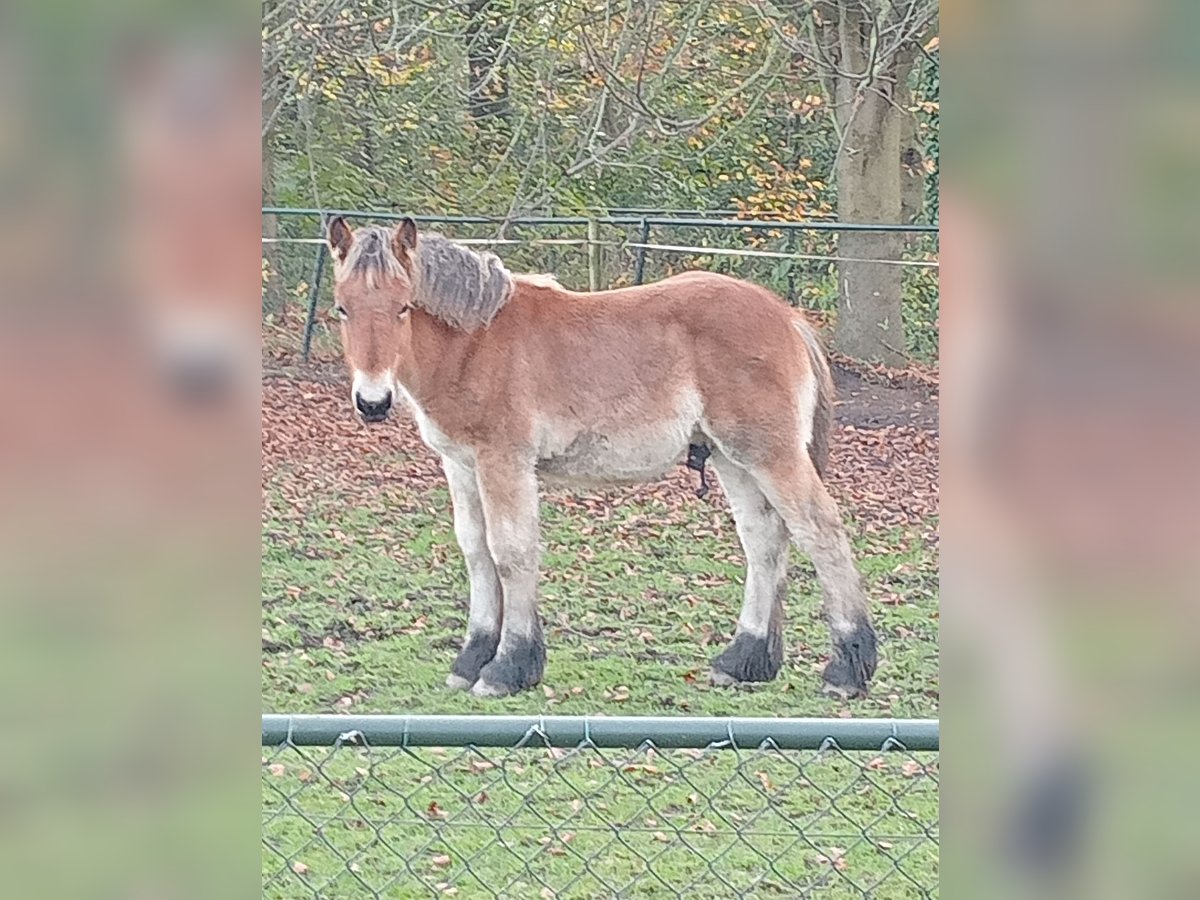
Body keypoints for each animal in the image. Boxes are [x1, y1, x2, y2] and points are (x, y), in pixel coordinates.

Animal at [328, 220, 883, 705]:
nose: (372, 403)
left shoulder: (504, 461)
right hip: (732, 458)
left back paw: (846, 670)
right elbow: (476, 551)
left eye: (403, 307)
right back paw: (743, 660)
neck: (475, 342)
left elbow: (511, 552)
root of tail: (787, 317)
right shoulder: (461, 465)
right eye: (341, 308)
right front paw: (471, 660)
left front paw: (508, 667)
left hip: (770, 452)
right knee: (764, 540)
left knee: (820, 530)